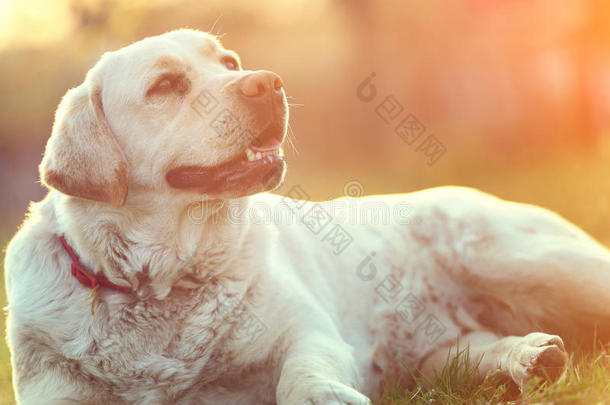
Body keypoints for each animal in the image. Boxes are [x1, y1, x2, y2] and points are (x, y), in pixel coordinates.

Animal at [4, 27, 608, 400]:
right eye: (166, 85)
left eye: (229, 63)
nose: (267, 82)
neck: (164, 283)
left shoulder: (308, 332)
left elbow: (301, 372)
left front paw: (325, 396)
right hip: (443, 349)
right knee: (475, 352)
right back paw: (528, 358)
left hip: (528, 262)